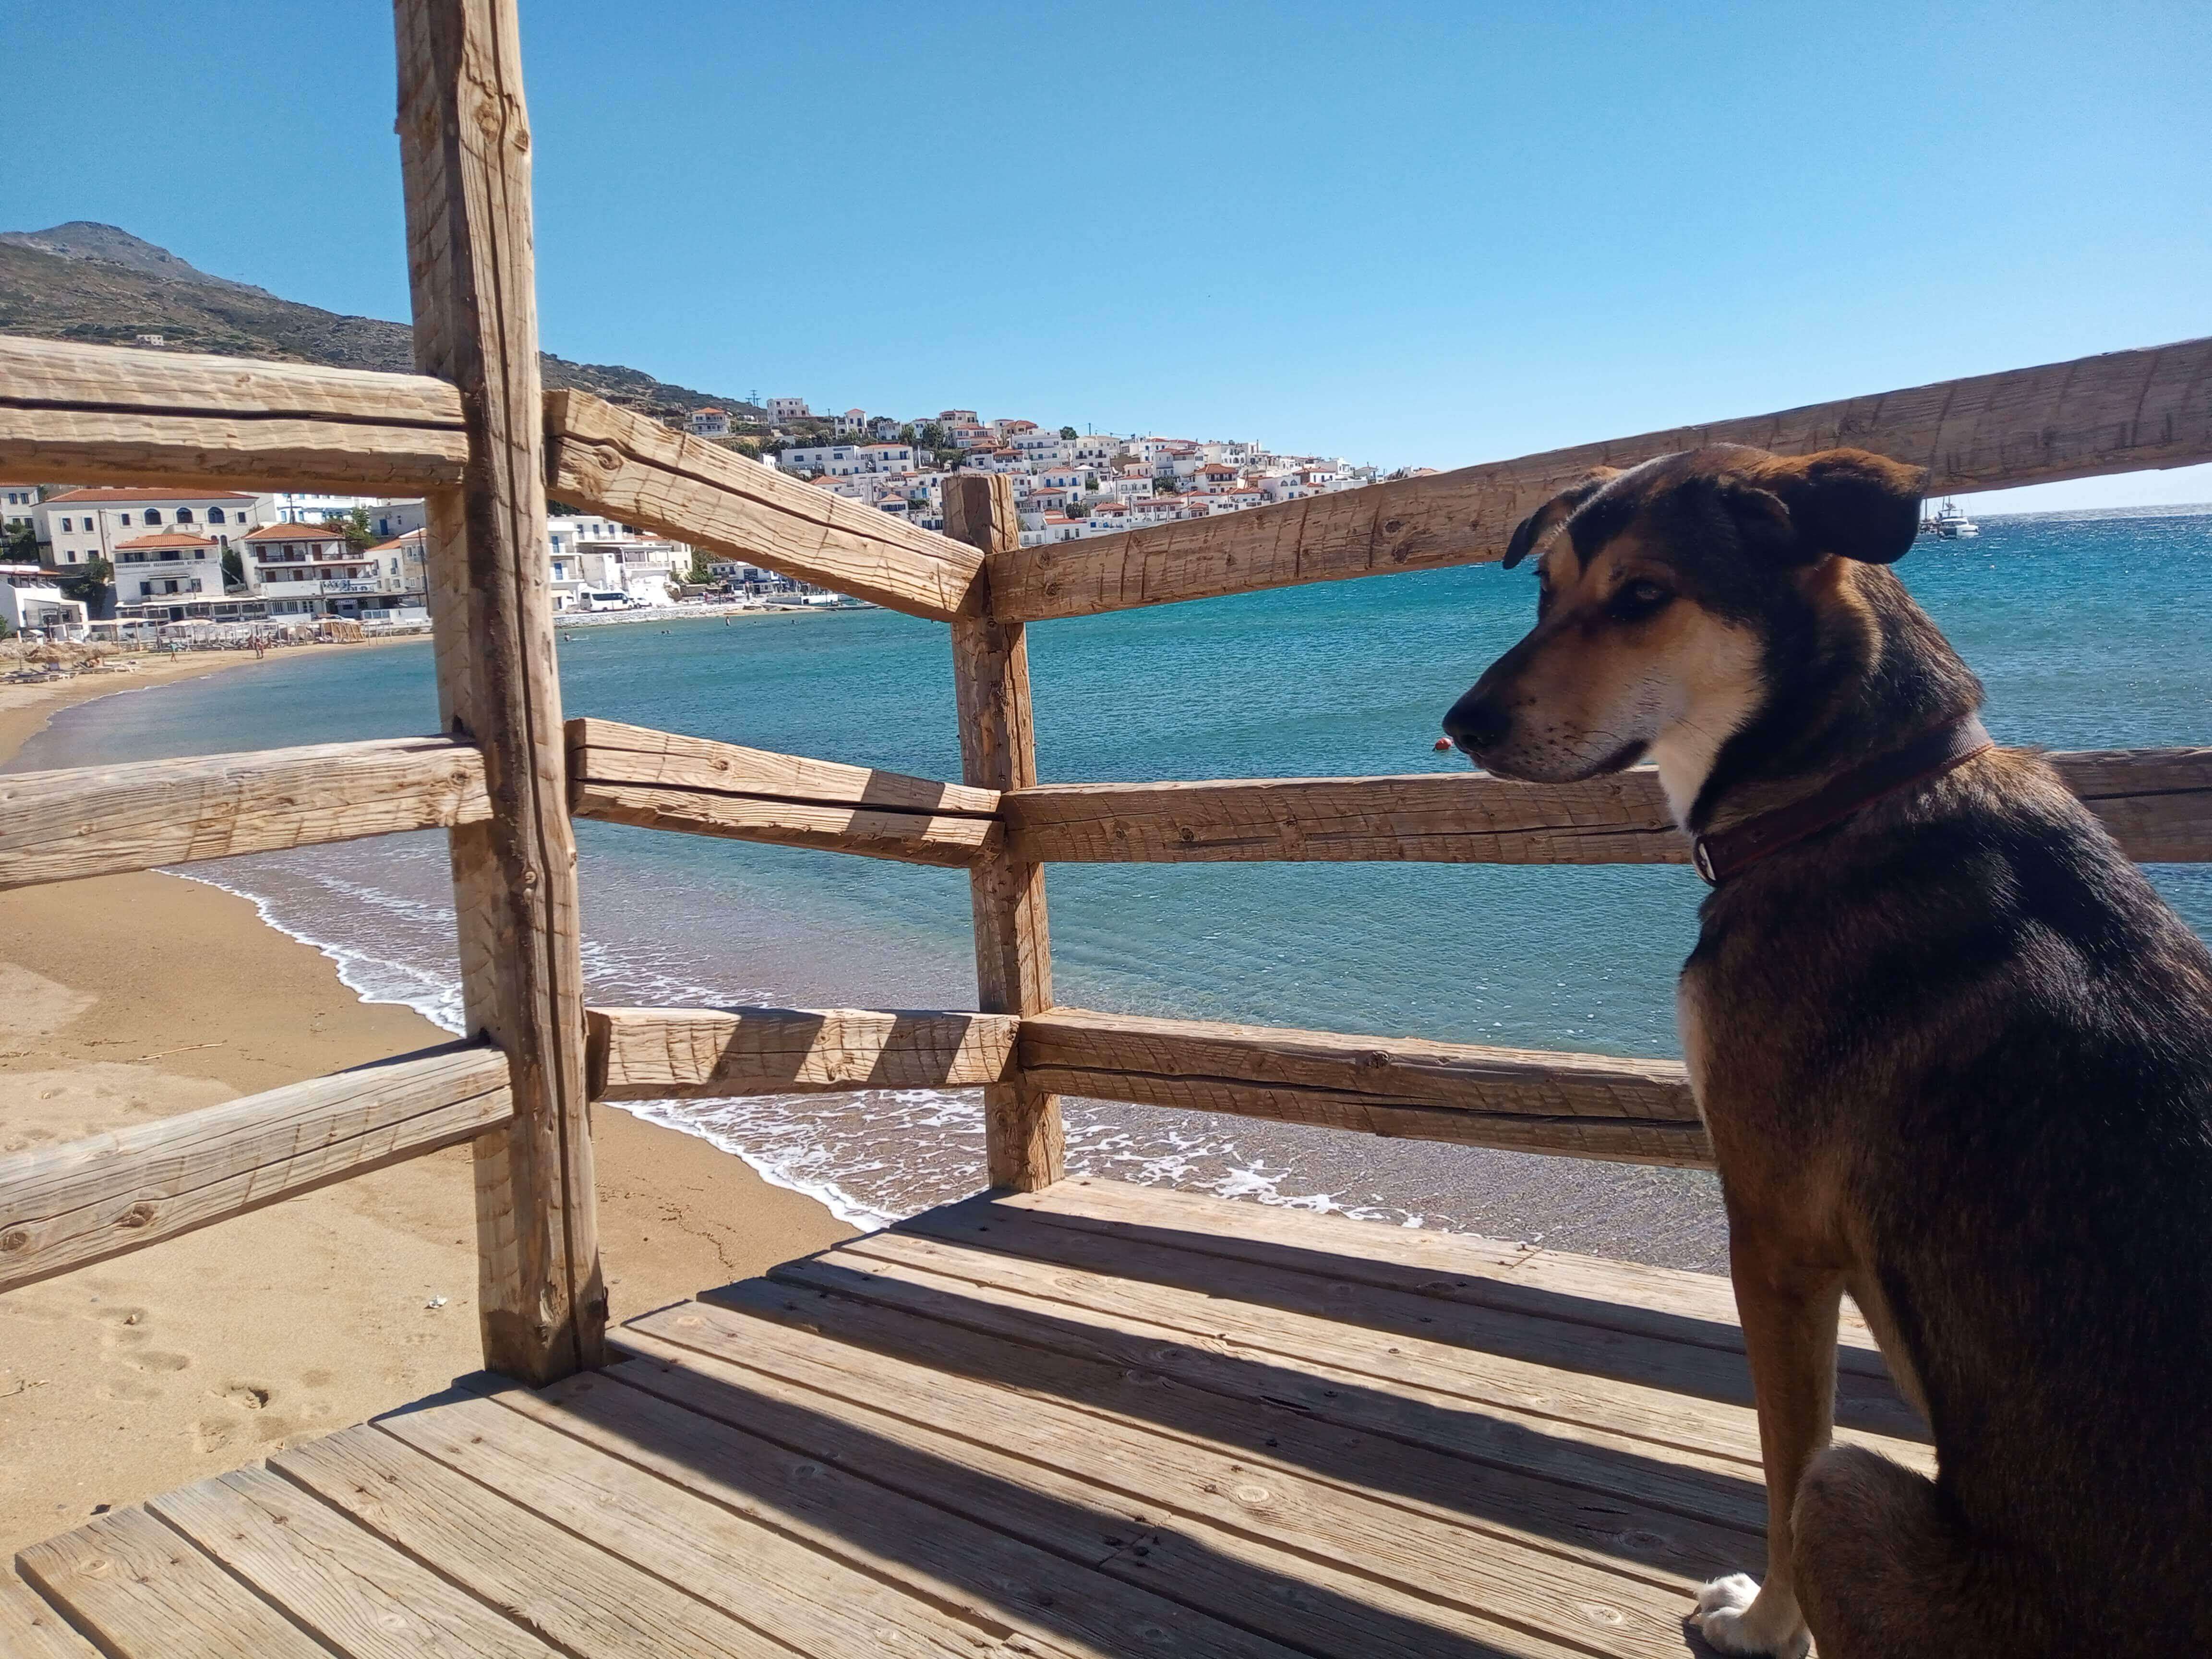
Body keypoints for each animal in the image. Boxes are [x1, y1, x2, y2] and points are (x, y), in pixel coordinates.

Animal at [1442, 445, 2203, 1659]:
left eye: (1643, 595)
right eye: (1543, 591)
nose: (1460, 723)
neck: (1842, 790)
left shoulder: (1776, 1237)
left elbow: (1781, 1465)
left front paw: (1763, 1626)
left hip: (1856, 1495)